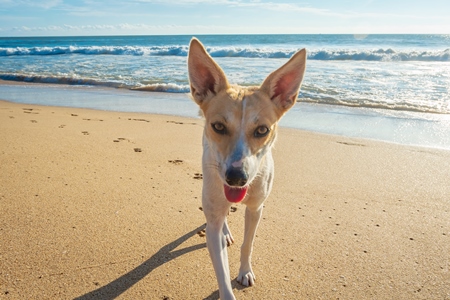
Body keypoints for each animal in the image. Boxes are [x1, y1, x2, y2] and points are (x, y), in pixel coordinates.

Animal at [186, 38, 306, 298]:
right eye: (218, 126)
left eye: (262, 130)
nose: (236, 177)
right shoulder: (213, 217)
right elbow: (220, 269)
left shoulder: (256, 208)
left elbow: (248, 244)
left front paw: (245, 272)